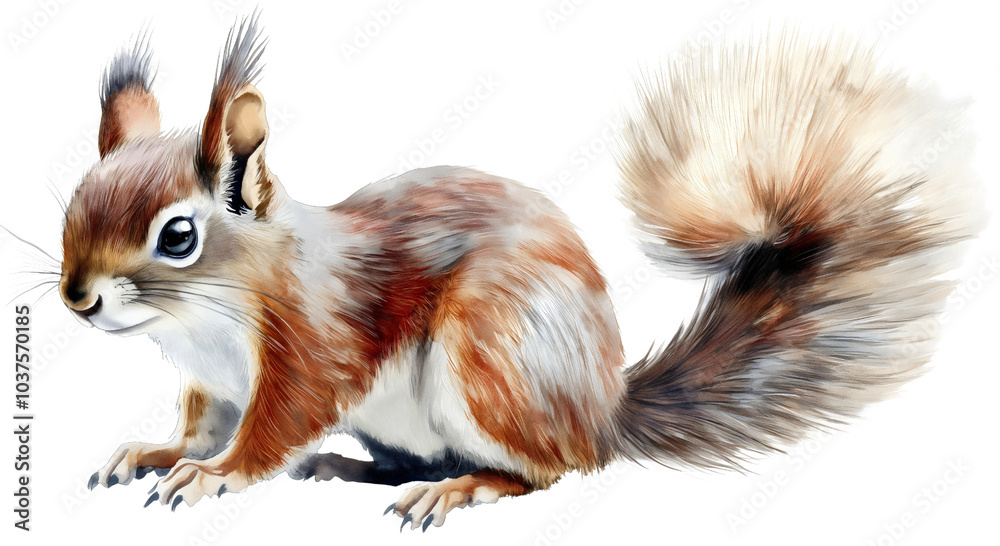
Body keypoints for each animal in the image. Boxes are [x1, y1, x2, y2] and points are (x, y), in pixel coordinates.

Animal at [59, 17, 981, 530]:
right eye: (74, 202)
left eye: (178, 235)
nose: (76, 298)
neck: (200, 325)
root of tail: (600, 409)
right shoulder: (210, 383)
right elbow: (200, 423)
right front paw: (155, 451)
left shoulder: (314, 343)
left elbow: (273, 425)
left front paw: (214, 476)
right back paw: (354, 469)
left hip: (490, 355)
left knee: (549, 471)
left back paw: (461, 489)